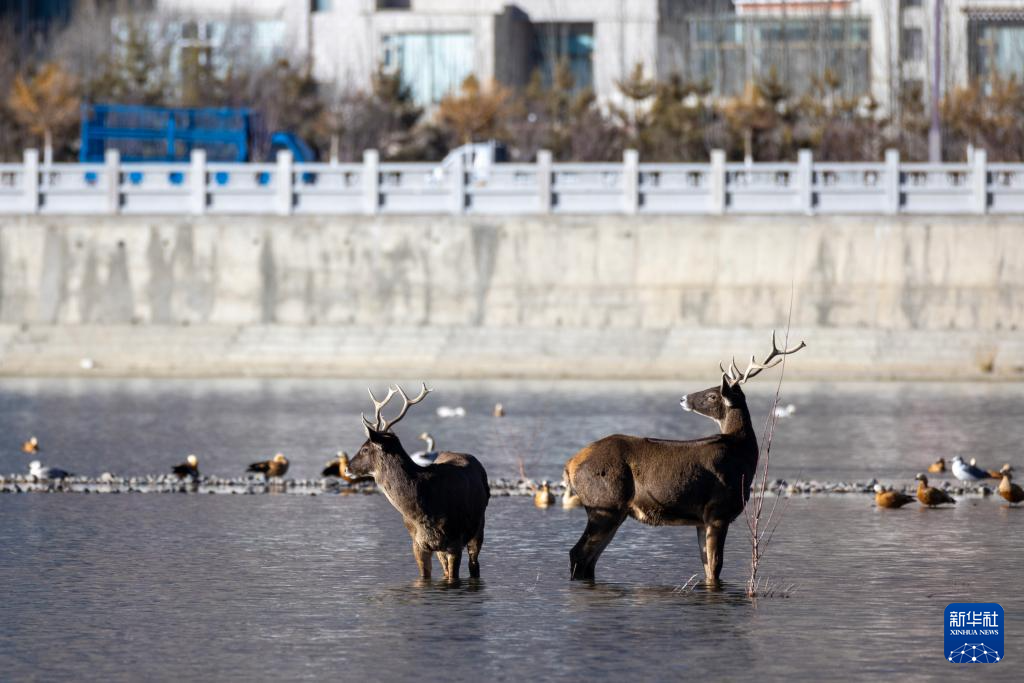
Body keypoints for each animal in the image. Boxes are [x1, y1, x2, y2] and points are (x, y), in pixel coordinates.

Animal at [344, 385, 487, 581]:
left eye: (365, 448)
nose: (346, 468)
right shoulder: (418, 544)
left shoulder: (455, 541)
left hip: (479, 525)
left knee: (474, 564)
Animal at [565, 333, 802, 585]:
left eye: (712, 394)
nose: (683, 398)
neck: (742, 455)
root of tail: (570, 464)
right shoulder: (718, 511)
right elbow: (716, 568)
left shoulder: (702, 519)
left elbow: (708, 567)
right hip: (604, 505)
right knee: (578, 554)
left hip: (613, 511)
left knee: (589, 560)